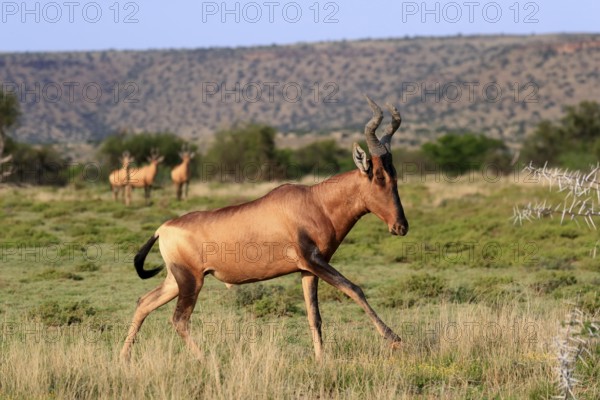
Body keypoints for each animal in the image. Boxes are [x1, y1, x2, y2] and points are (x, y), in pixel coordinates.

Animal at [122, 97, 410, 362]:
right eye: (379, 176)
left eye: (395, 175)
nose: (401, 227)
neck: (315, 201)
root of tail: (163, 228)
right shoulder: (313, 260)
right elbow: (354, 289)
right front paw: (394, 339)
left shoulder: (308, 269)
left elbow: (314, 315)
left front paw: (320, 360)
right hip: (191, 281)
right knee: (179, 319)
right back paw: (205, 359)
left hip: (175, 280)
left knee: (144, 302)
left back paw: (123, 358)